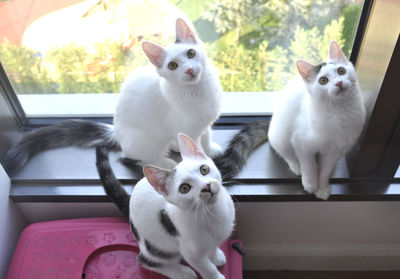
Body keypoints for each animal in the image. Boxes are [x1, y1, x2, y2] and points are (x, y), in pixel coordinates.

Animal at [128, 135, 234, 278]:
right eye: (184, 188)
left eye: (204, 169)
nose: (206, 187)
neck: (212, 212)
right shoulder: (190, 252)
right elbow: (207, 267)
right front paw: (215, 276)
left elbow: (213, 246)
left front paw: (215, 256)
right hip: (157, 246)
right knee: (146, 261)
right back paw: (183, 273)